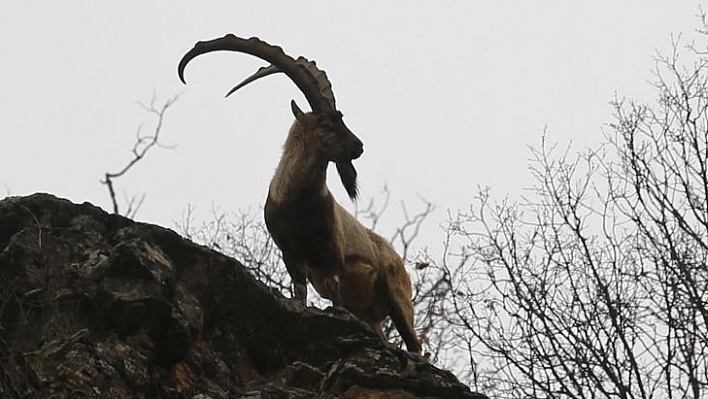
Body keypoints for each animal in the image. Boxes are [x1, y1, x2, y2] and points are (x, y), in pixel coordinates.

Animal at [178, 35, 420, 354]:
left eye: (340, 119)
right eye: (326, 124)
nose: (358, 146)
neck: (298, 204)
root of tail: (396, 258)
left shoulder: (332, 251)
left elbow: (334, 289)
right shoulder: (291, 254)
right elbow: (300, 292)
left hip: (398, 297)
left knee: (416, 345)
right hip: (369, 313)